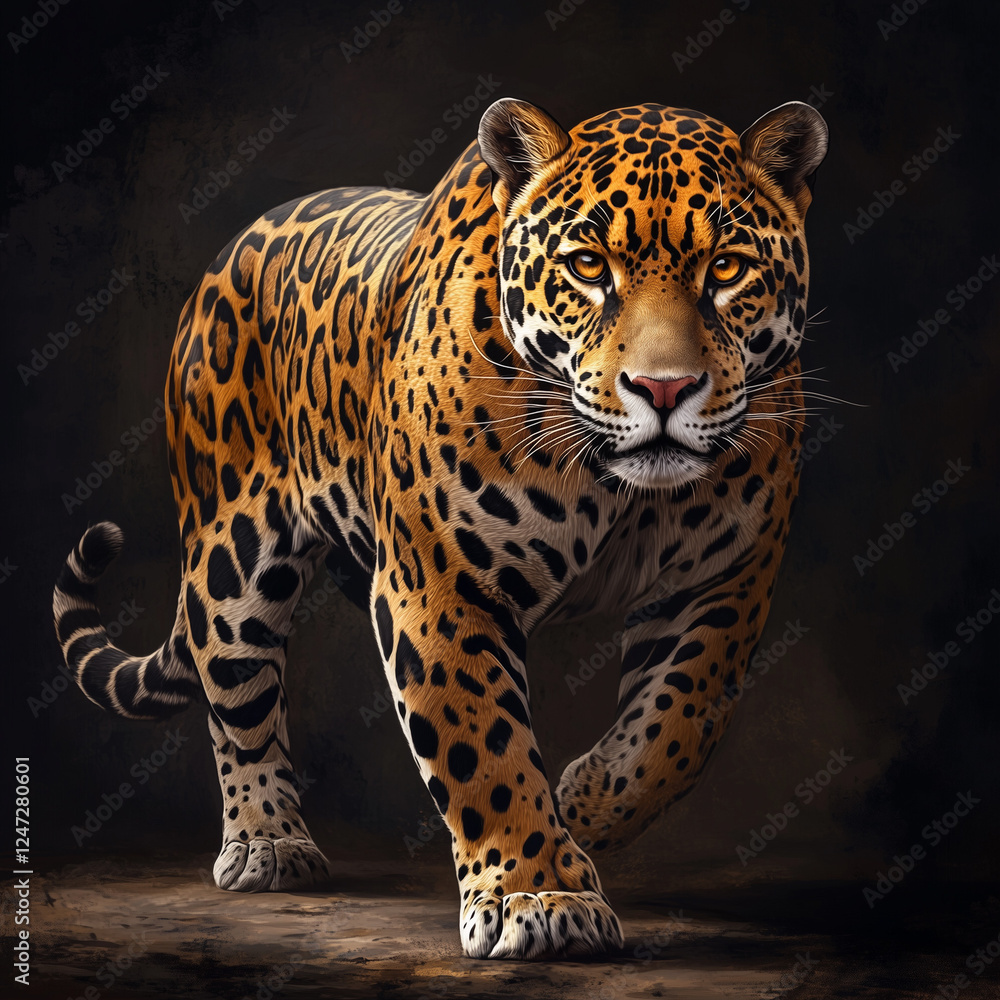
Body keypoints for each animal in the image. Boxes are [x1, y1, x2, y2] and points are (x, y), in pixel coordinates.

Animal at [52, 96, 828, 960]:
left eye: (726, 270)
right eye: (588, 267)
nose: (664, 389)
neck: (614, 485)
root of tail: (235, 245)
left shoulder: (725, 579)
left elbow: (680, 723)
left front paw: (587, 803)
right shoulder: (441, 584)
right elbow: (483, 745)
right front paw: (540, 894)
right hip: (230, 560)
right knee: (238, 701)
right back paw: (267, 843)